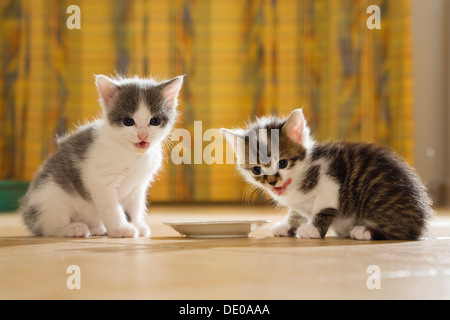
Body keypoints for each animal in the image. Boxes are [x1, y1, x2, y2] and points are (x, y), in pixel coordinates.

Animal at [20, 74, 183, 236]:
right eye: (128, 121)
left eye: (154, 121)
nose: (142, 135)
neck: (132, 154)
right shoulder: (101, 182)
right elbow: (111, 207)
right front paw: (121, 228)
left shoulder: (139, 185)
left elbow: (136, 206)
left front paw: (137, 224)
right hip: (50, 197)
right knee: (50, 227)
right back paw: (74, 228)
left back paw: (95, 227)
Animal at [221, 109, 432, 239]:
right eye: (256, 169)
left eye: (283, 163)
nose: (273, 182)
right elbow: (297, 212)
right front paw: (288, 226)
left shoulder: (330, 181)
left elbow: (323, 208)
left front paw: (313, 230)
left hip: (380, 198)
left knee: (402, 231)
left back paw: (364, 231)